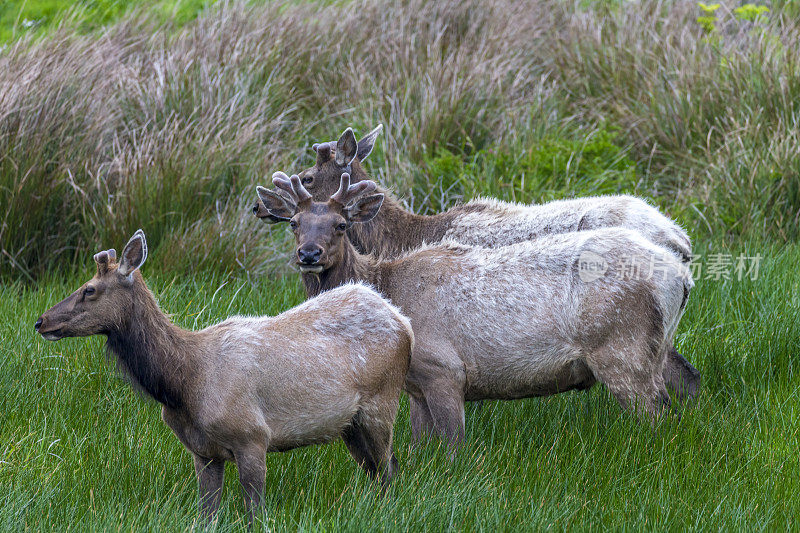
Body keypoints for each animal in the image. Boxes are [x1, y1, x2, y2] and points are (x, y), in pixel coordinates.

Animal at [32, 228, 412, 520]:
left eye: (89, 290)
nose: (41, 321)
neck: (185, 384)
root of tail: (401, 320)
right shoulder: (203, 452)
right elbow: (207, 514)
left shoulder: (252, 436)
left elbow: (255, 513)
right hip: (350, 423)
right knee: (374, 470)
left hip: (382, 401)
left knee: (389, 466)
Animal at [258, 174, 692, 444]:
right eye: (294, 223)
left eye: (341, 225)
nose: (308, 254)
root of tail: (682, 273)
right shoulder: (415, 385)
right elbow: (420, 447)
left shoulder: (445, 369)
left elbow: (454, 448)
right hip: (648, 350)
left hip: (621, 348)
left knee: (656, 414)